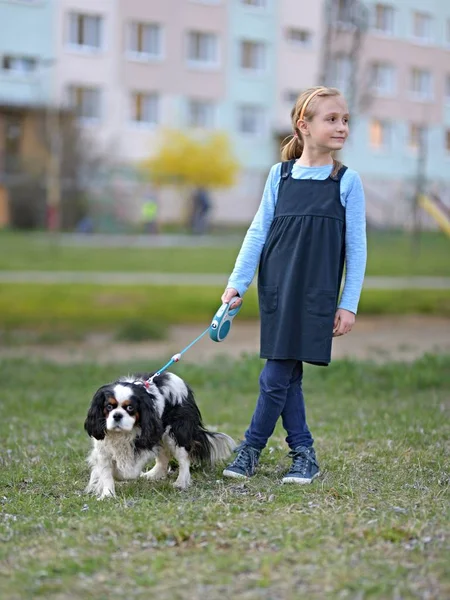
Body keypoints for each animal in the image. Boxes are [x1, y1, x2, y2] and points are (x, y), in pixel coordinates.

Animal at [83, 372, 236, 500]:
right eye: (109, 407)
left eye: (130, 408)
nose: (117, 415)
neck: (122, 434)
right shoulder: (102, 450)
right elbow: (105, 472)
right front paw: (107, 494)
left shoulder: (146, 441)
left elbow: (128, 472)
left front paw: (116, 475)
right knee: (163, 456)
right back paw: (153, 474)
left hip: (174, 434)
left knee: (183, 458)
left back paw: (181, 482)